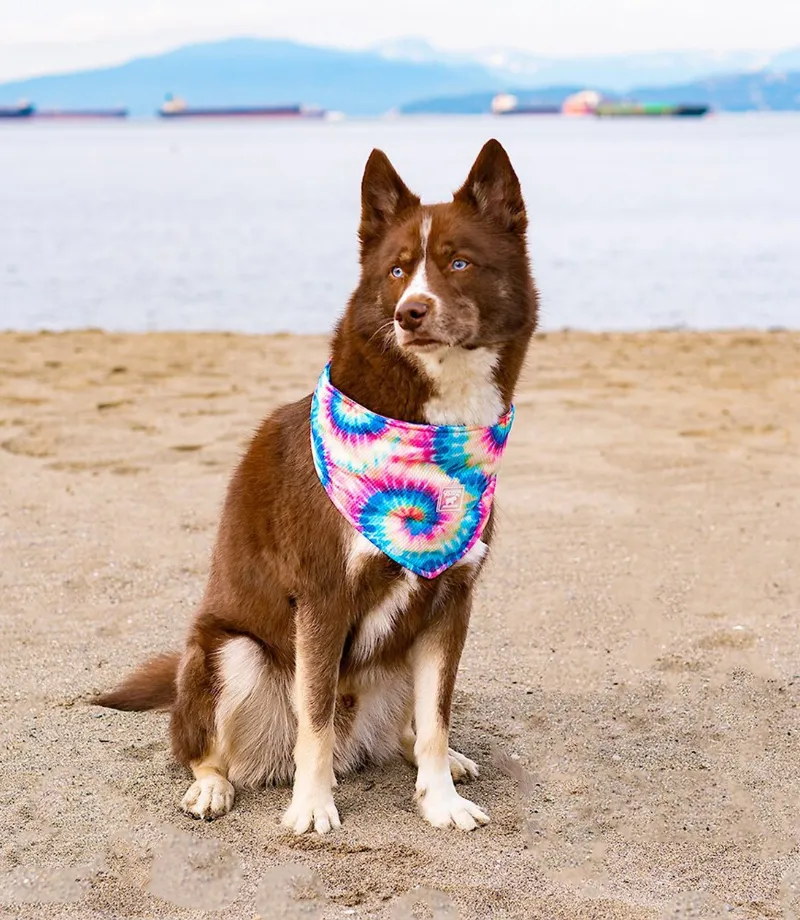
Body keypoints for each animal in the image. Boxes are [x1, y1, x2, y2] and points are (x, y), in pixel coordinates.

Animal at [97, 138, 540, 832]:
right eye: (396, 271)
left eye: (459, 262)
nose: (410, 313)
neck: (429, 430)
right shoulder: (322, 598)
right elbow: (316, 718)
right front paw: (311, 806)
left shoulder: (451, 604)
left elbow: (436, 720)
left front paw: (440, 799)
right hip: (229, 652)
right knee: (199, 746)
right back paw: (212, 786)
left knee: (410, 728)